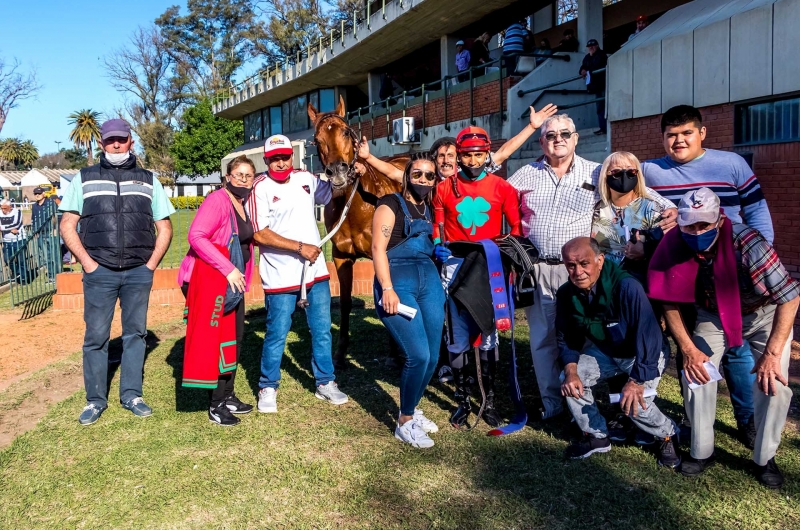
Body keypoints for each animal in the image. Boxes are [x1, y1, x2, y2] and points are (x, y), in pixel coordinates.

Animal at [304, 95, 410, 366]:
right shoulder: (342, 258)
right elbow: (344, 302)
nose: (337, 171)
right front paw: (340, 353)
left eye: (345, 131)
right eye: (317, 139)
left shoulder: (381, 255)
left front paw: (395, 351)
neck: (354, 206)